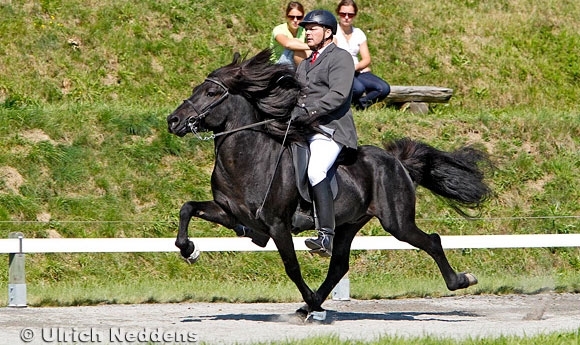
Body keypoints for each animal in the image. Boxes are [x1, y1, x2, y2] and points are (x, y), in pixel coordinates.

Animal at [165, 49, 492, 318]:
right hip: (348, 223)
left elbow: (291, 267)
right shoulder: (229, 212)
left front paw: (309, 298)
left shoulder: (277, 225)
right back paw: (310, 306)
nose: (173, 121)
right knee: (339, 266)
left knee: (431, 241)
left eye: (210, 93)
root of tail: (397, 161)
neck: (248, 159)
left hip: (397, 222)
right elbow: (187, 208)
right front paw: (189, 250)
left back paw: (461, 280)